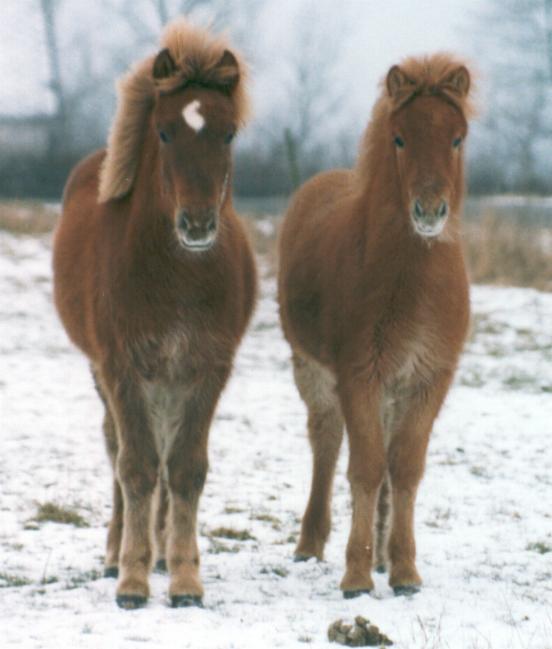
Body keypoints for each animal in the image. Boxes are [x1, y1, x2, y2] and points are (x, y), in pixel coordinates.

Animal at [52, 19, 256, 608]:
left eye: (228, 134)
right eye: (164, 133)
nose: (197, 225)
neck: (176, 275)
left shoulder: (208, 368)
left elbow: (185, 469)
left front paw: (185, 579)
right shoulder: (122, 367)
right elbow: (136, 466)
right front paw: (132, 581)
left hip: (170, 377)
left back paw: (163, 554)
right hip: (110, 374)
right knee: (117, 449)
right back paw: (117, 553)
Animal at [280, 54, 474, 596]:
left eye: (457, 138)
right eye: (400, 138)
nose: (428, 212)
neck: (412, 283)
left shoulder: (427, 379)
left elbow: (404, 467)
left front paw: (404, 569)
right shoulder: (358, 375)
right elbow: (364, 467)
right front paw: (356, 574)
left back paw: (386, 556)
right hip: (313, 369)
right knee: (326, 442)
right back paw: (311, 543)